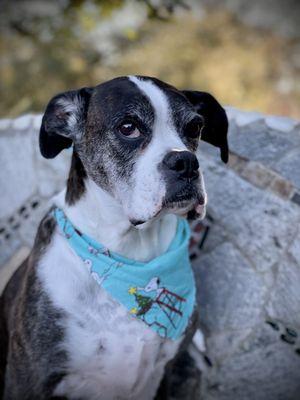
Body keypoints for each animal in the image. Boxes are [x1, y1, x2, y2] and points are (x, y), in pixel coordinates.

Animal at [0, 76, 227, 400]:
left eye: (195, 127)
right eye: (128, 127)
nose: (186, 162)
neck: (129, 252)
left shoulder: (165, 372)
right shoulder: (27, 379)